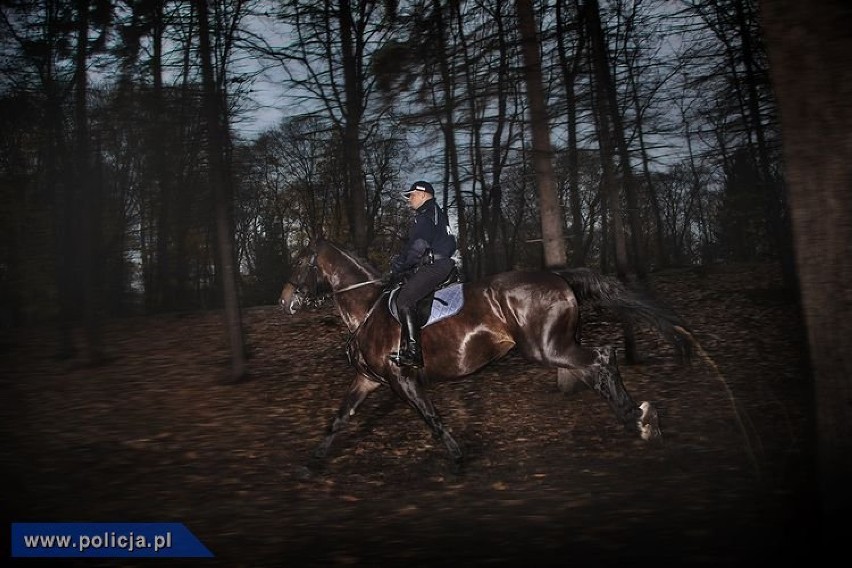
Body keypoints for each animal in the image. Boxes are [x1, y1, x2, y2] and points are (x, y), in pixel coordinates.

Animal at [280, 242, 692, 468]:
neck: (369, 307)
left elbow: (431, 418)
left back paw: (638, 419)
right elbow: (339, 418)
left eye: (299, 261)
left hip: (546, 348)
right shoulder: (368, 379)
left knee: (599, 362)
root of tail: (558, 277)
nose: (284, 302)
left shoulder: (402, 379)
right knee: (603, 360)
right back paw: (638, 418)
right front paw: (312, 462)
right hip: (559, 345)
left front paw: (457, 458)